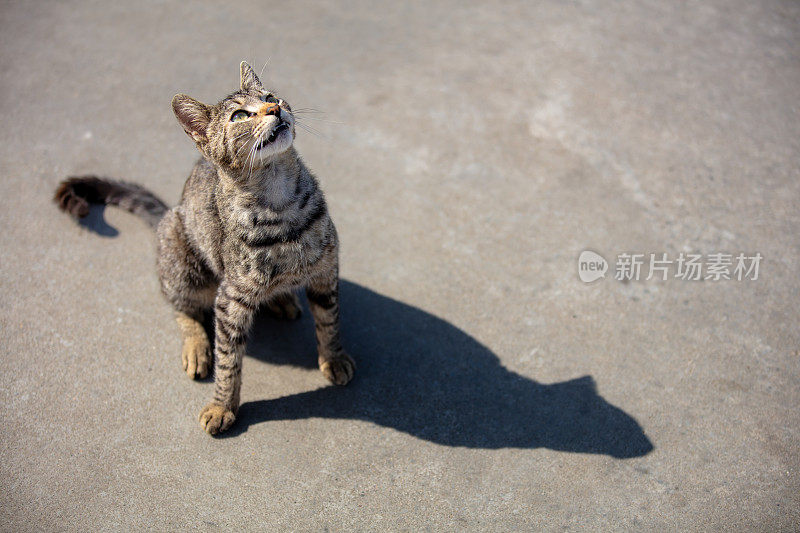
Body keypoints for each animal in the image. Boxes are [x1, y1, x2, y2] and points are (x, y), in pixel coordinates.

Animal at [54, 62, 354, 434]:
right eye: (239, 115)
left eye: (269, 96)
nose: (274, 108)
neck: (281, 203)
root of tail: (172, 209)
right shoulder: (230, 299)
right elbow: (228, 362)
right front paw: (222, 405)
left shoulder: (326, 271)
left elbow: (330, 322)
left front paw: (333, 358)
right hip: (182, 263)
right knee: (181, 307)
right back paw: (196, 347)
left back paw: (281, 299)